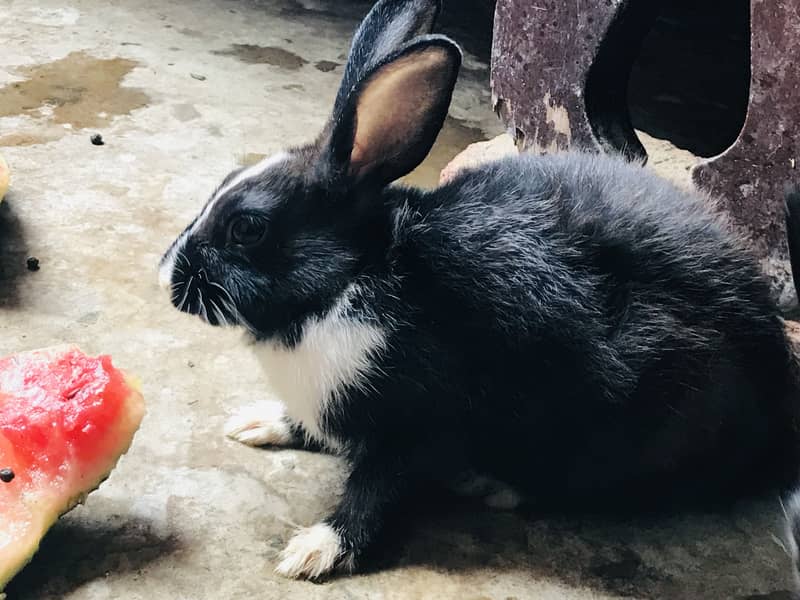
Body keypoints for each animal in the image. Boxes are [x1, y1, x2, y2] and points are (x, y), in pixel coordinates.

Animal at [159, 0, 800, 580]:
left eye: (248, 228)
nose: (167, 276)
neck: (353, 281)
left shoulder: (416, 425)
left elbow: (376, 492)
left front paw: (316, 551)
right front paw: (256, 423)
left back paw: (495, 485)